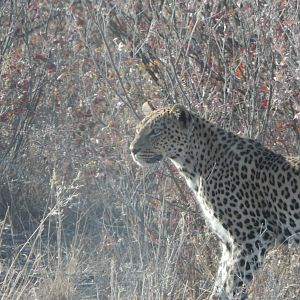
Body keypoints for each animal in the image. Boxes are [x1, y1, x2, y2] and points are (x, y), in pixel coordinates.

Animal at [129, 102, 300, 298]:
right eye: (138, 130)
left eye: (156, 131)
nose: (132, 150)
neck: (194, 168)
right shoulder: (228, 243)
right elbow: (220, 283)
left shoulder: (251, 238)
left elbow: (233, 284)